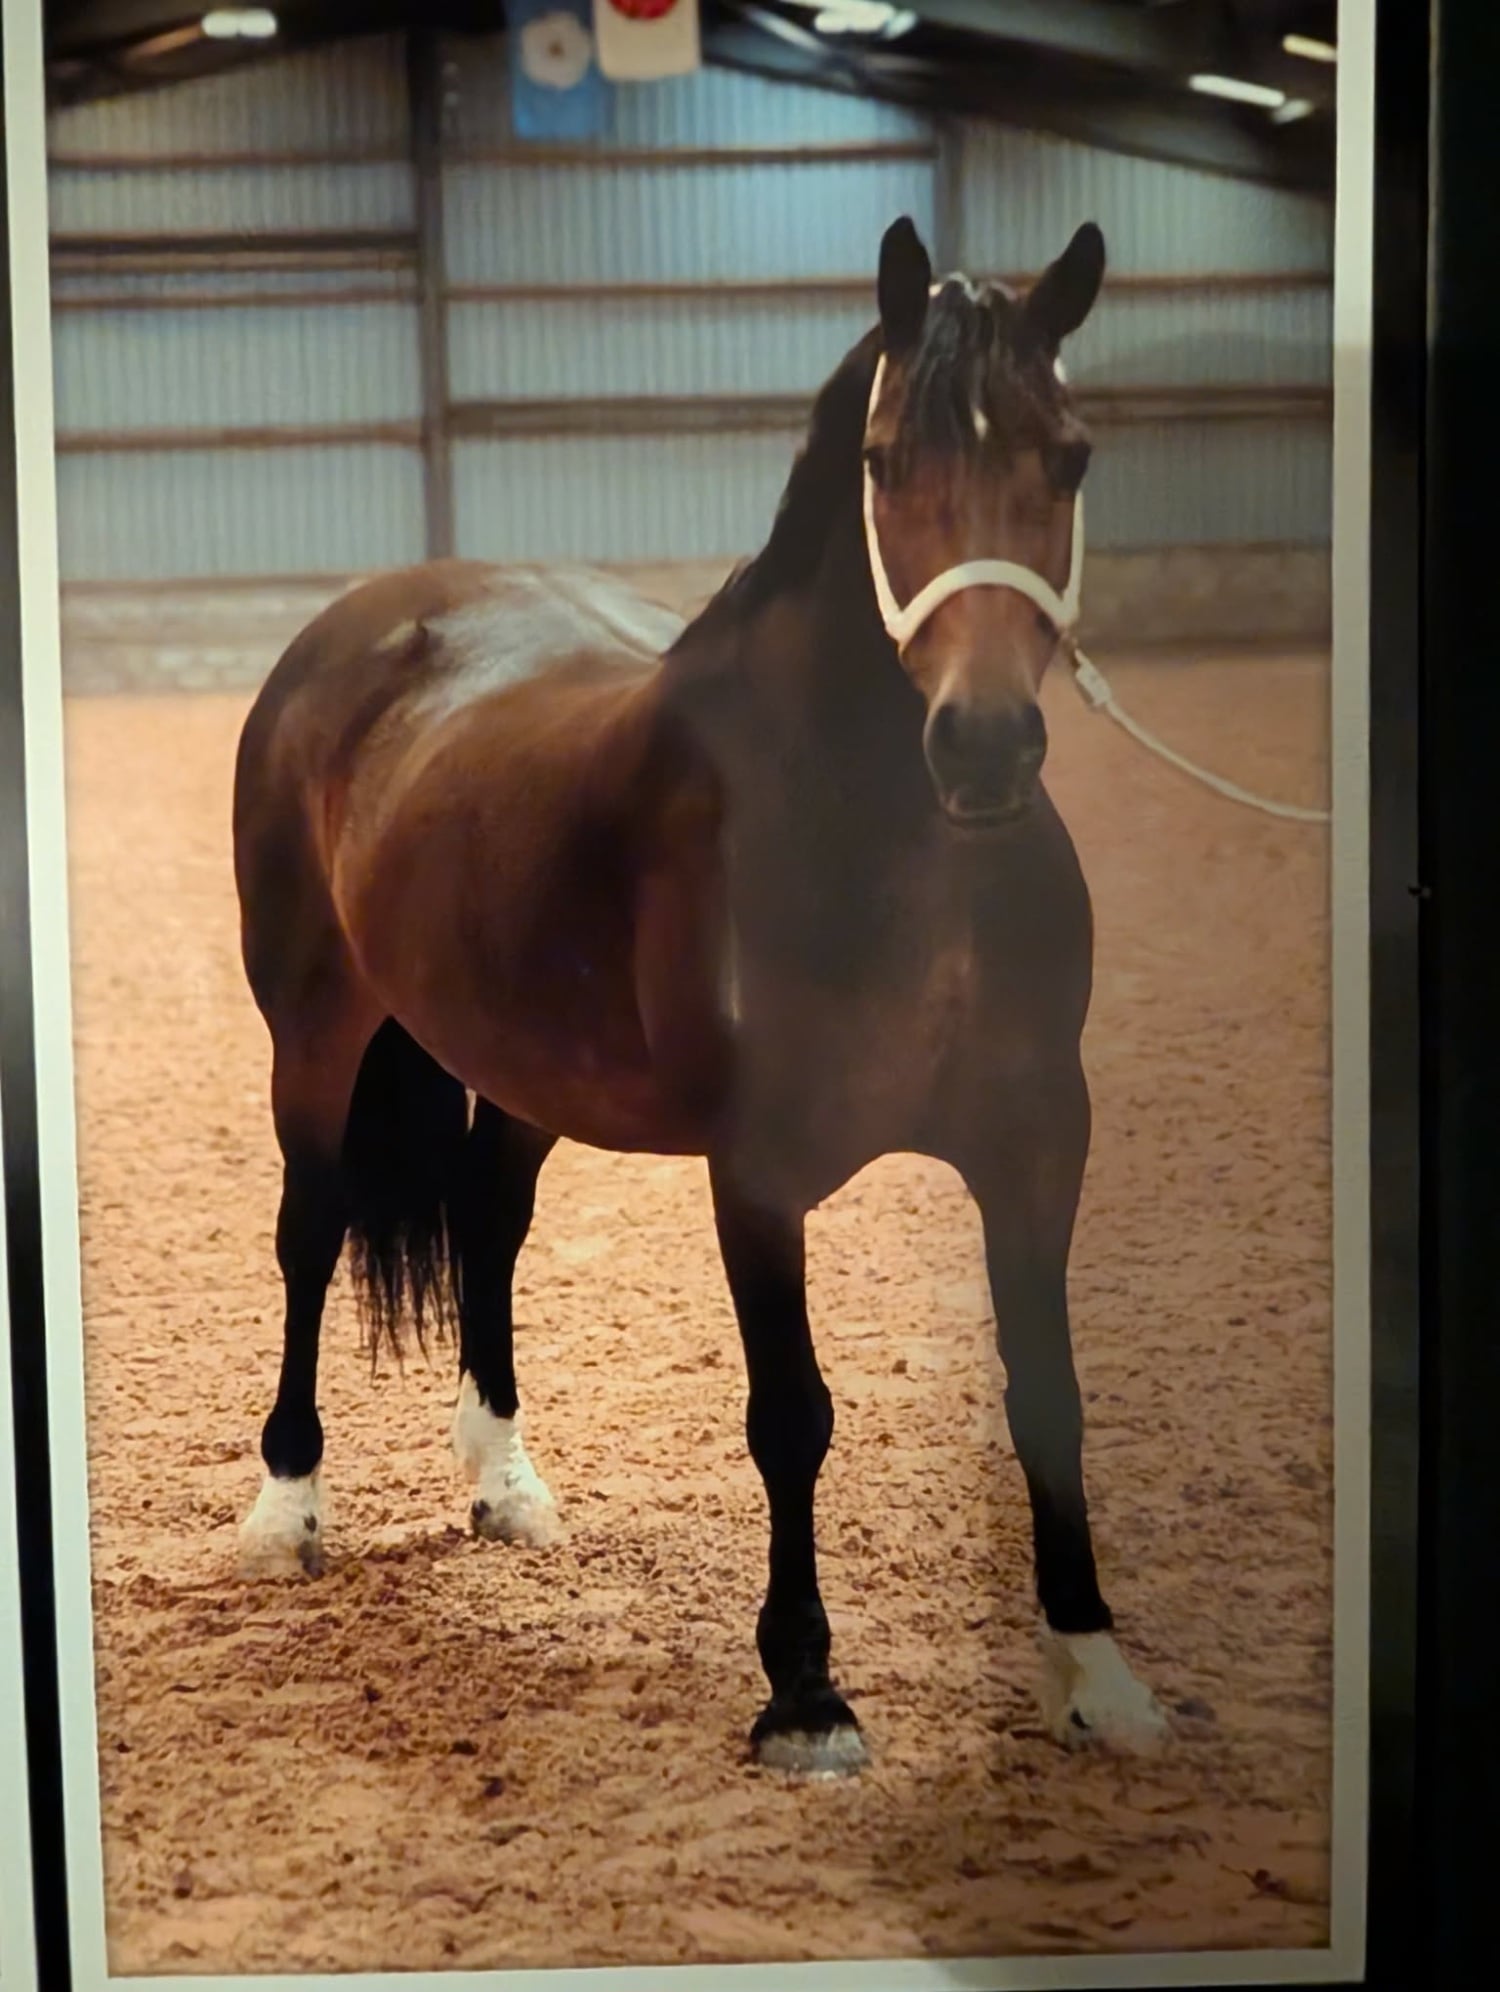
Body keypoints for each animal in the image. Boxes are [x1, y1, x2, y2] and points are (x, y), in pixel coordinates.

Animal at [231, 213, 1168, 1773]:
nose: (981, 744)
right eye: (884, 460)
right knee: (310, 1234)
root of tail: (361, 625)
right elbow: (791, 1414)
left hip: (529, 1063)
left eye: (1075, 456)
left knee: (489, 1220)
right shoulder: (761, 1167)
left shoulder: (1043, 1137)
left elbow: (1051, 1393)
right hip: (313, 1031)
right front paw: (806, 1695)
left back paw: (506, 1482)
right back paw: (287, 1506)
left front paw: (1094, 1670)